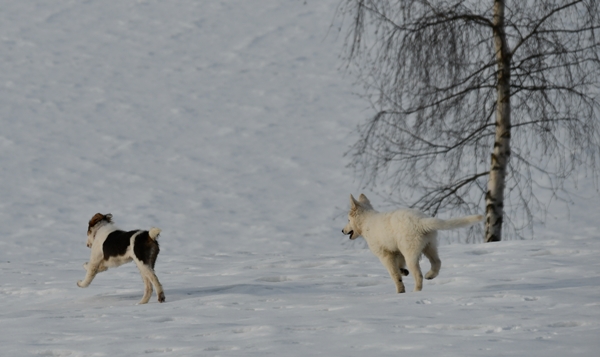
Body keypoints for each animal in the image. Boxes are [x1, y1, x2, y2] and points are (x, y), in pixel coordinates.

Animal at [342, 195, 482, 292]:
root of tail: (420, 221)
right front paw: (403, 271)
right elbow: (399, 267)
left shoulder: (385, 255)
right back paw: (430, 275)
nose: (342, 230)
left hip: (411, 253)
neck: (367, 222)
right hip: (429, 245)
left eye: (348, 220)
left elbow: (394, 273)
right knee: (437, 262)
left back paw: (416, 292)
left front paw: (400, 290)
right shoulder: (397, 251)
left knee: (418, 275)